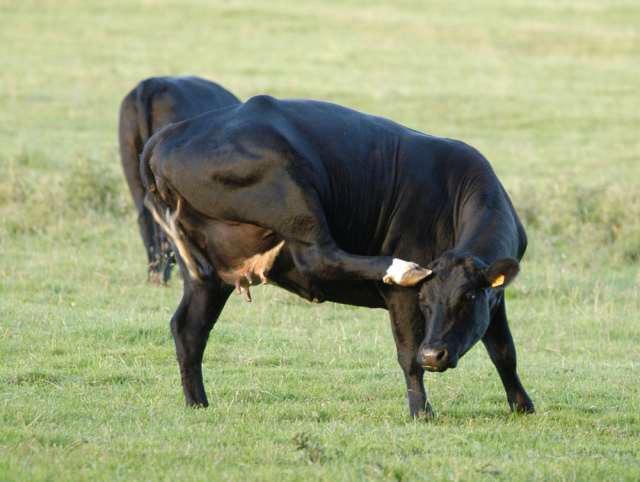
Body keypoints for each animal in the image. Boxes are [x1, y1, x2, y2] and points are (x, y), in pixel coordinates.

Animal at [140, 95, 535, 418]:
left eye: (468, 297)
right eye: (425, 300)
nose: (433, 355)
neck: (454, 189)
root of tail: (170, 134)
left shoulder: (495, 299)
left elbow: (504, 351)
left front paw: (522, 405)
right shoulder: (402, 299)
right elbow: (408, 354)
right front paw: (422, 412)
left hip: (208, 271)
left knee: (189, 329)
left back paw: (198, 402)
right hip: (294, 194)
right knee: (319, 255)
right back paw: (401, 267)